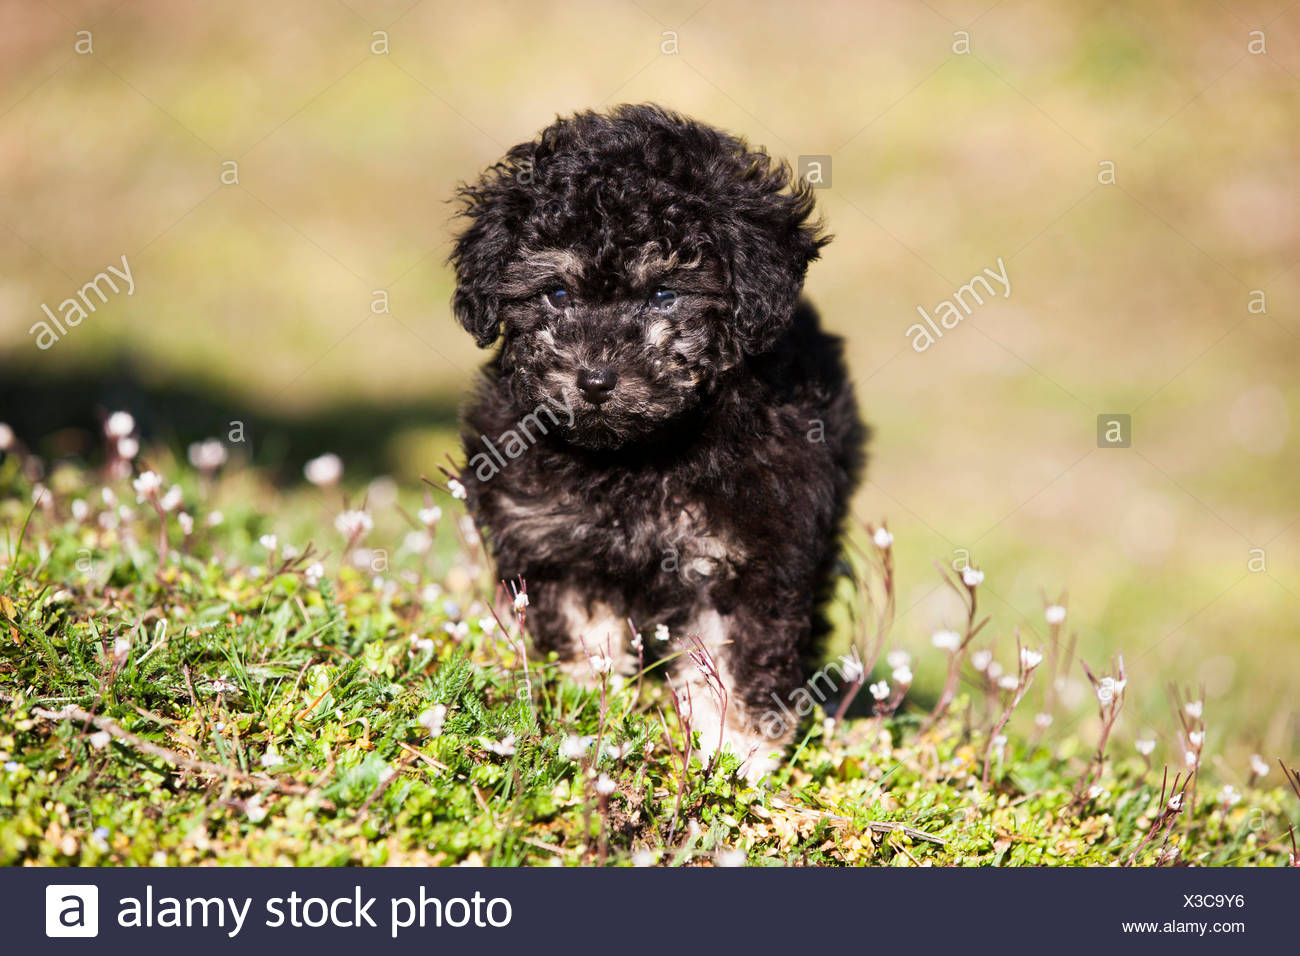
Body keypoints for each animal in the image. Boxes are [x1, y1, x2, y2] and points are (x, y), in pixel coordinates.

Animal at [447, 104, 863, 780]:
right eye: (557, 293)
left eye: (664, 294)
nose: (594, 380)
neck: (637, 455)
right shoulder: (555, 542)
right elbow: (585, 633)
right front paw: (587, 707)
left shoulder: (746, 554)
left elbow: (731, 657)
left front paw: (735, 750)